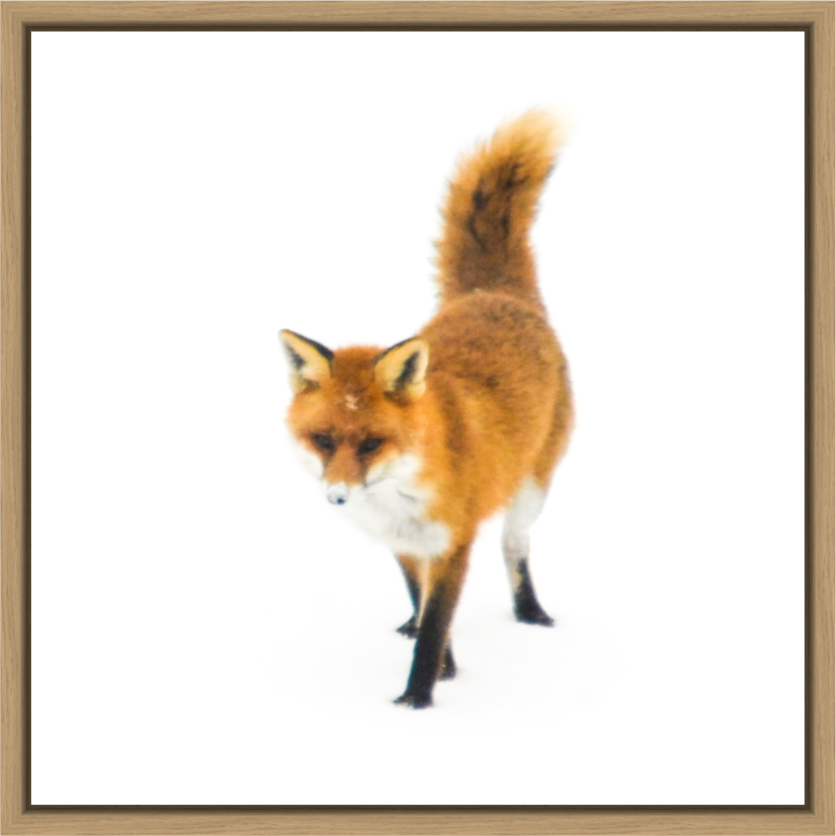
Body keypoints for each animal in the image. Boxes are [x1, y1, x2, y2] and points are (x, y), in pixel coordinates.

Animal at [279, 111, 573, 708]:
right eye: (324, 439)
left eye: (371, 442)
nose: (337, 496)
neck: (399, 491)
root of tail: (492, 293)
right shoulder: (404, 545)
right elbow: (425, 607)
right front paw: (445, 669)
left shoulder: (452, 543)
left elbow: (438, 621)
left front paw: (417, 701)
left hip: (531, 490)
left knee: (515, 544)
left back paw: (530, 612)